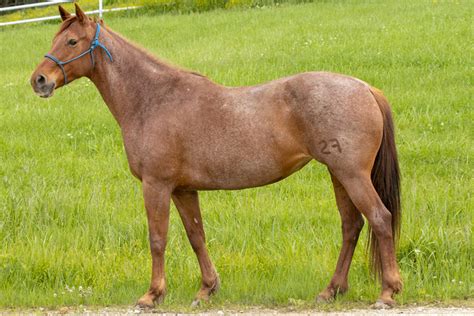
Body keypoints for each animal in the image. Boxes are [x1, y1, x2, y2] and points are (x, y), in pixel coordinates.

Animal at [30, 4, 400, 308]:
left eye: (72, 42)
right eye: (55, 38)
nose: (39, 80)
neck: (153, 99)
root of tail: (365, 88)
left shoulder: (156, 185)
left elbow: (157, 239)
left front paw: (152, 295)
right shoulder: (183, 189)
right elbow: (196, 236)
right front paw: (207, 289)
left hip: (351, 175)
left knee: (380, 219)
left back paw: (387, 292)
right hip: (339, 175)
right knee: (351, 226)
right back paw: (331, 290)